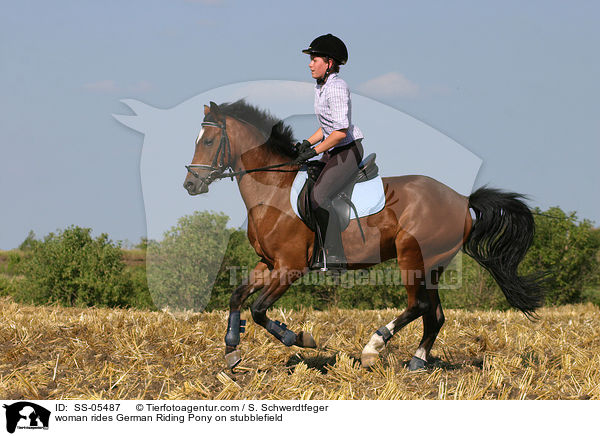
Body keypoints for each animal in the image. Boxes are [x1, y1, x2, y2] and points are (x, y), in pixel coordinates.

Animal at [182, 99, 544, 372]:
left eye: (209, 141)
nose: (190, 185)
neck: (274, 190)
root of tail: (461, 200)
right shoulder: (268, 263)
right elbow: (237, 296)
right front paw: (231, 352)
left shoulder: (290, 267)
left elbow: (258, 310)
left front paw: (299, 339)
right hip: (433, 265)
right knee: (435, 315)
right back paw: (416, 362)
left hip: (412, 256)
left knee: (419, 305)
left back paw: (373, 347)